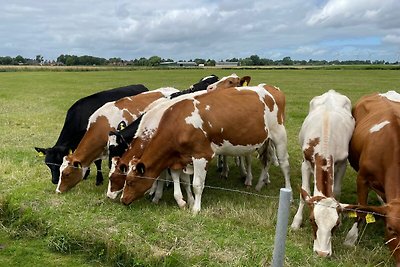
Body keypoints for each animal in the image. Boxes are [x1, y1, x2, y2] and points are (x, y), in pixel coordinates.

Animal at [104, 74, 252, 202]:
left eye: (113, 178)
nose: (109, 196)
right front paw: (154, 191)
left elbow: (166, 175)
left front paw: (158, 194)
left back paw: (242, 173)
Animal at [119, 85, 290, 215]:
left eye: (131, 182)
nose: (123, 200)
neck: (178, 124)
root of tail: (270, 89)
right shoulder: (181, 158)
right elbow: (180, 179)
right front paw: (183, 201)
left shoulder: (201, 156)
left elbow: (196, 184)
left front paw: (195, 208)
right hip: (265, 141)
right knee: (266, 161)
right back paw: (259, 184)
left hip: (279, 135)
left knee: (284, 164)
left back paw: (288, 191)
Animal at [290, 90, 354, 258]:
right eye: (312, 220)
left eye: (335, 224)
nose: (322, 253)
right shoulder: (305, 163)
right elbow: (304, 193)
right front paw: (296, 222)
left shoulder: (342, 163)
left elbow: (337, 191)